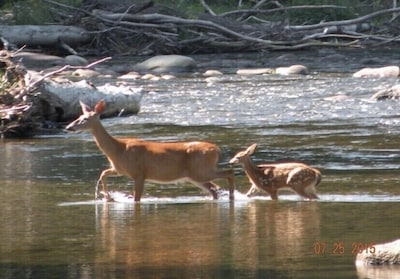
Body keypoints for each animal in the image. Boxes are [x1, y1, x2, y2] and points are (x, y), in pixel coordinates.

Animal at [65, 100, 234, 201]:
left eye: (85, 119)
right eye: (78, 115)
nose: (68, 127)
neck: (118, 150)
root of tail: (217, 150)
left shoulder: (139, 173)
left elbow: (136, 198)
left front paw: (109, 197)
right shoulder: (120, 169)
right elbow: (103, 173)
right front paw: (108, 197)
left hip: (200, 170)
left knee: (228, 173)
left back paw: (232, 197)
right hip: (194, 175)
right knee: (214, 189)